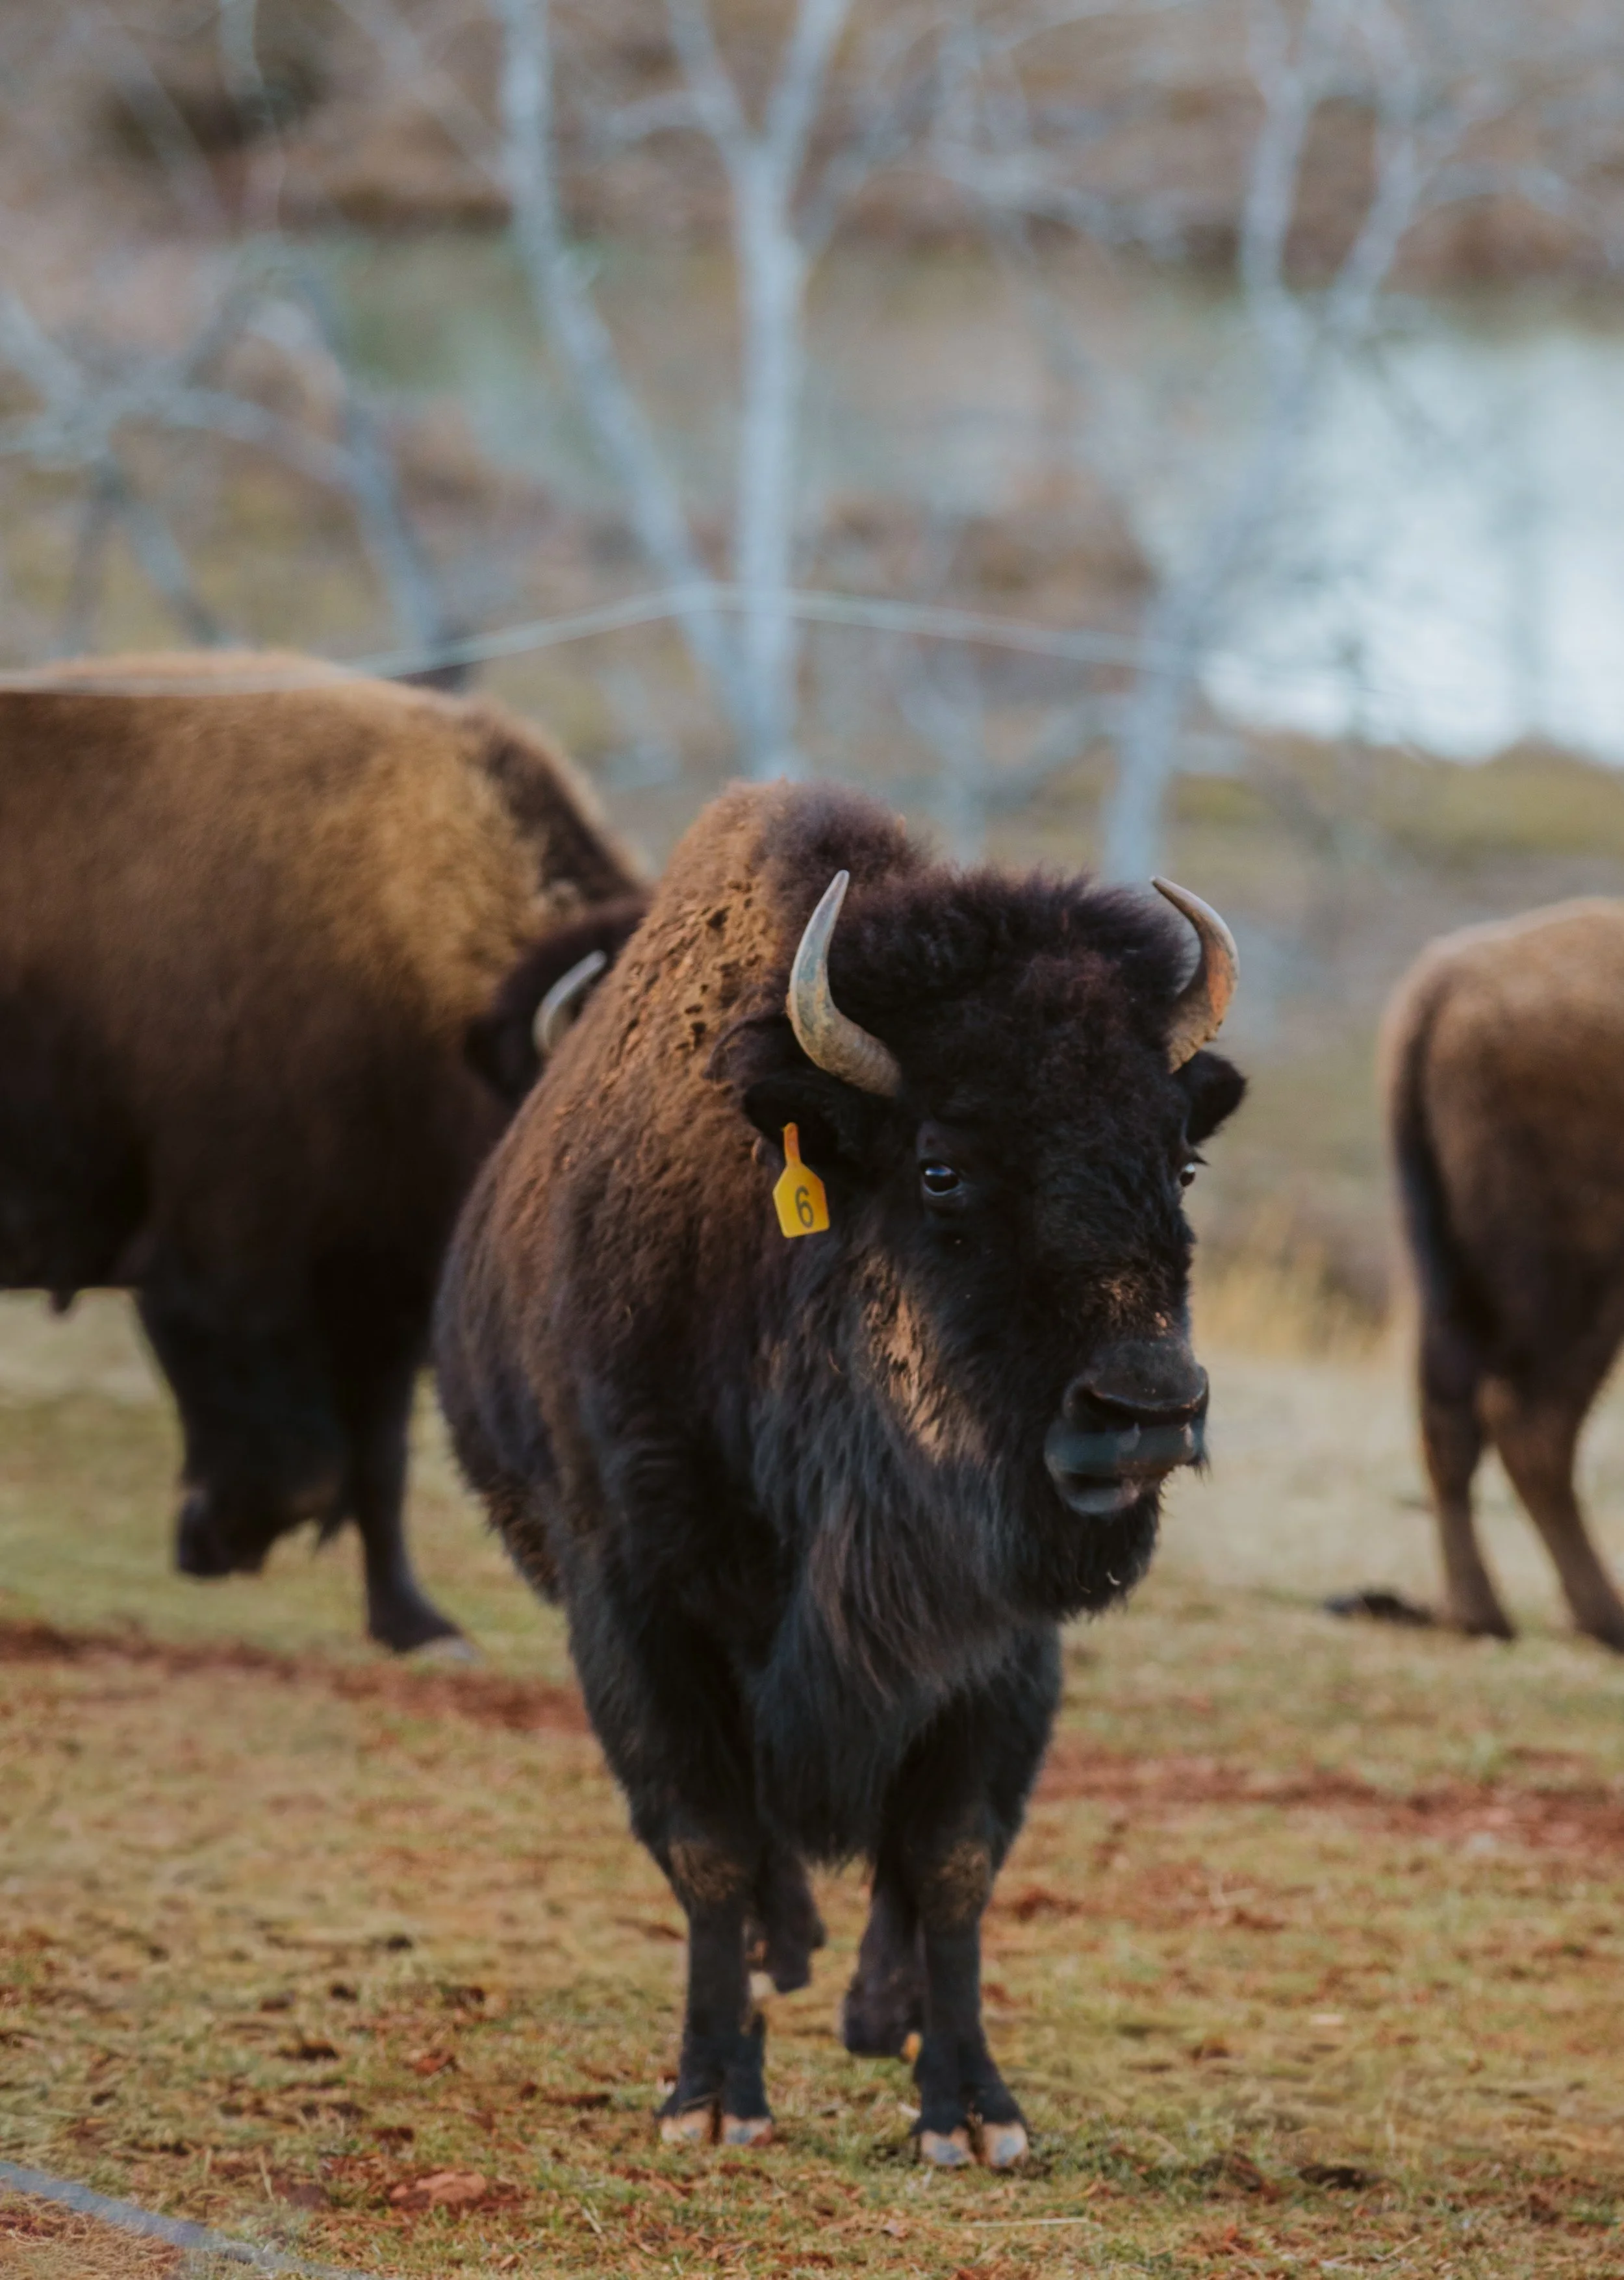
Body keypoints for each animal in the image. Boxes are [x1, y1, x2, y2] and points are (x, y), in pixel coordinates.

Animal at [0, 651, 641, 1650]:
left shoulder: (382, 1295)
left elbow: (379, 1466)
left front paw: (418, 1627)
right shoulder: (223, 1269)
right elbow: (303, 1460)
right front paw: (214, 1539)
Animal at [436, 781, 1245, 2161]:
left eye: (1180, 1162)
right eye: (941, 1168)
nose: (1145, 1410)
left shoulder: (997, 1646)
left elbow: (952, 1858)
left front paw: (971, 2115)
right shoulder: (635, 1604)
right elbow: (708, 1840)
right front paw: (713, 2100)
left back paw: (880, 2013)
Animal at [1386, 899, 1624, 1650]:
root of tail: (1446, 980)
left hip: (1453, 1267)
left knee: (1451, 1414)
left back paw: (1478, 1611)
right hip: (1574, 1280)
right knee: (1530, 1418)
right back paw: (1603, 1616)